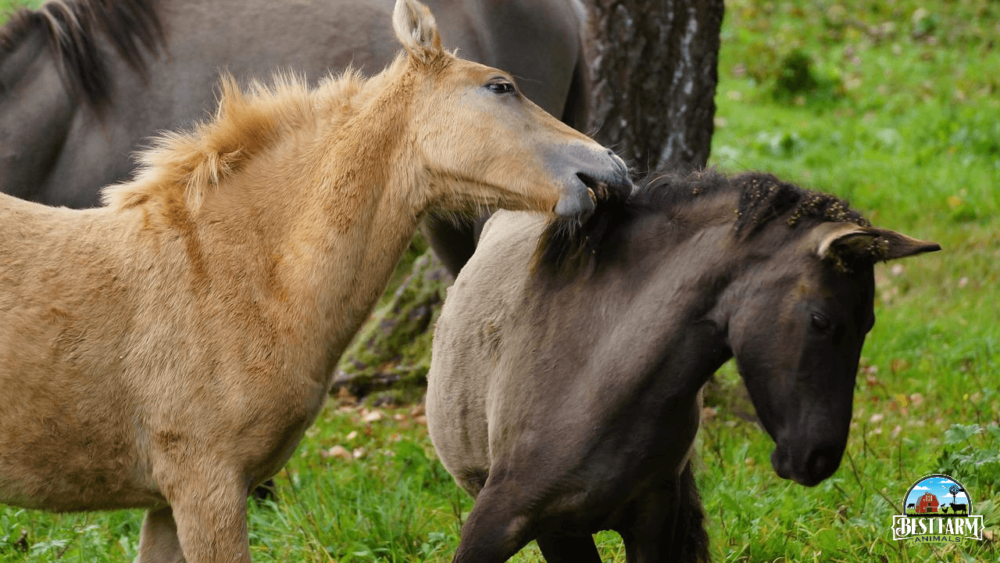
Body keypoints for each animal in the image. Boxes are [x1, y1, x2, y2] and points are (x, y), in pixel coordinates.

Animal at [426, 170, 940, 560]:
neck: (592, 375)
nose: (821, 458)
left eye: (869, 323)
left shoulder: (653, 519)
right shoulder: (513, 524)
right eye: (821, 320)